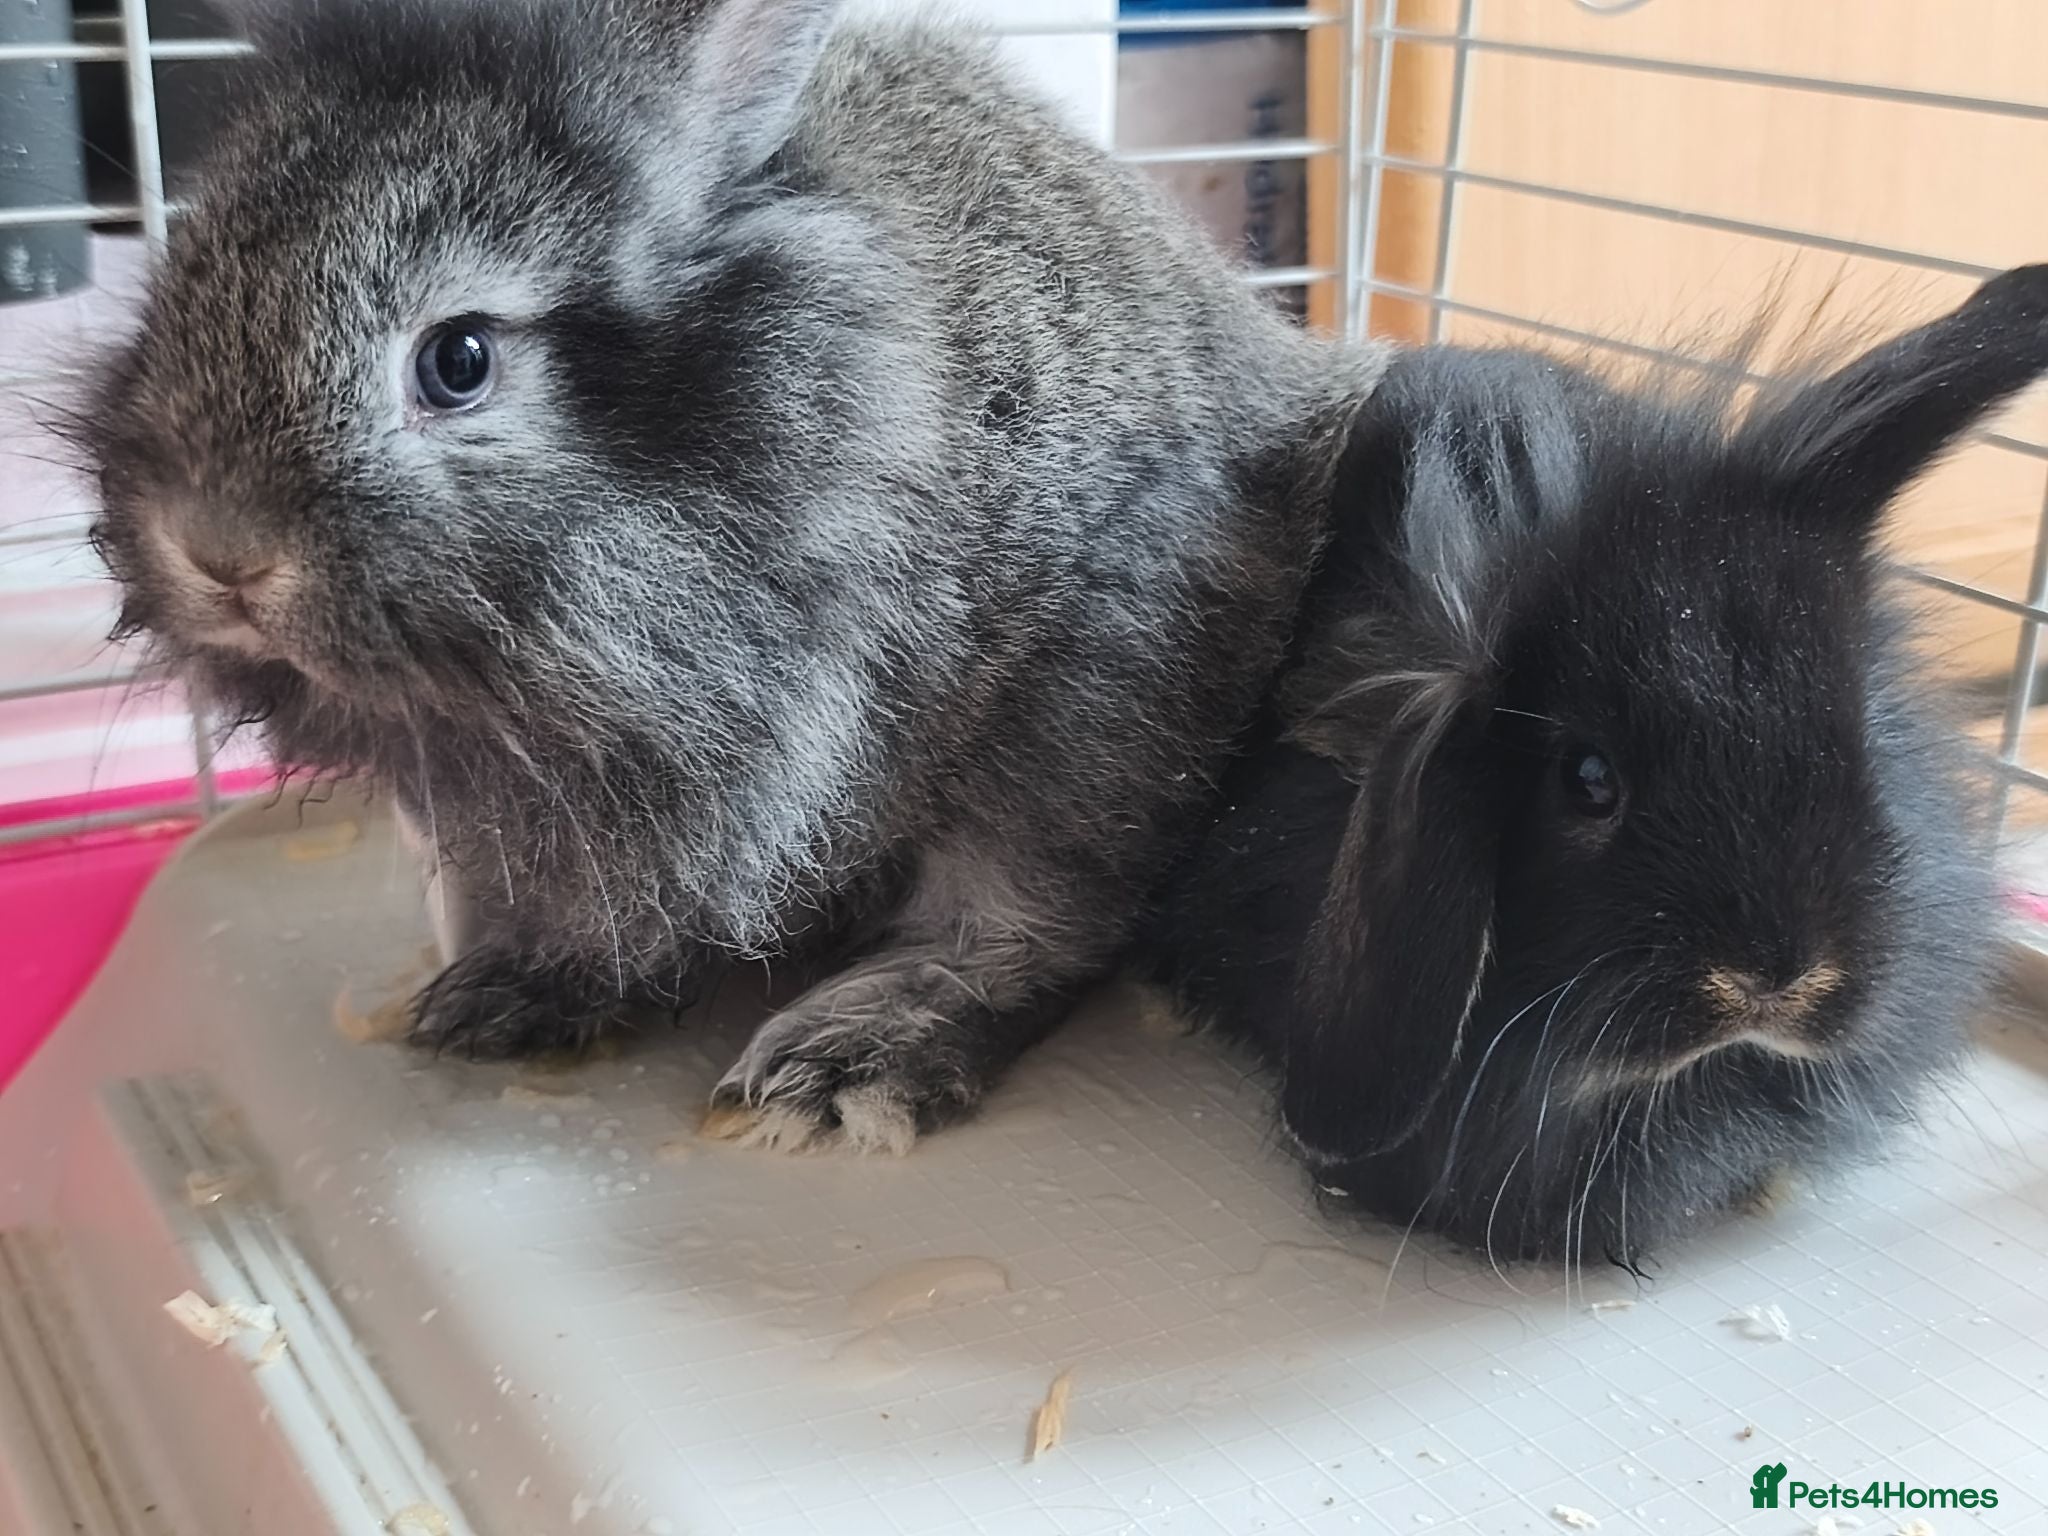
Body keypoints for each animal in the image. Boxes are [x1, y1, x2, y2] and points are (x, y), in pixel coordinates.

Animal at [79, 0, 1382, 1152]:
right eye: (179, 281)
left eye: (458, 360)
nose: (220, 549)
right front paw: (510, 996)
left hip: (1089, 712)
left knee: (1027, 921)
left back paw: (843, 1063)